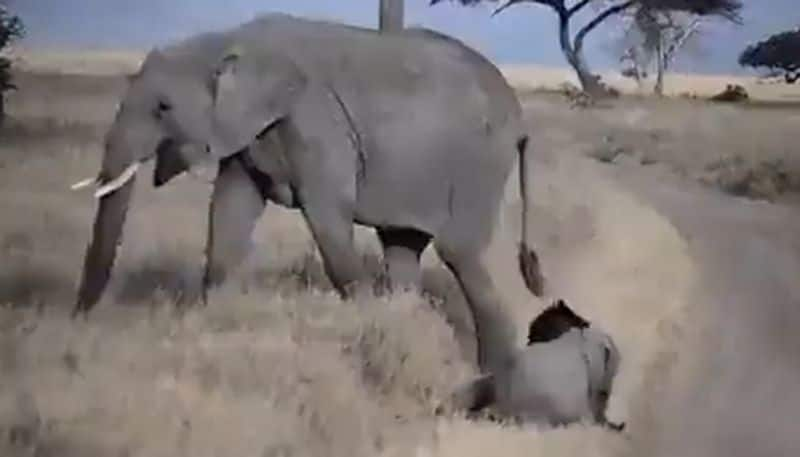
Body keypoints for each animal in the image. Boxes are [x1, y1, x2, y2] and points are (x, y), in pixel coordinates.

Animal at [70, 13, 544, 382]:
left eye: (163, 108)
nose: (81, 320)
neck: (224, 41)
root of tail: (520, 115)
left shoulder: (315, 123)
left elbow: (327, 216)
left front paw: (365, 319)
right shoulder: (247, 130)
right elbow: (230, 209)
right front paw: (209, 323)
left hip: (479, 163)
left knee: (460, 251)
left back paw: (494, 380)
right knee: (402, 247)